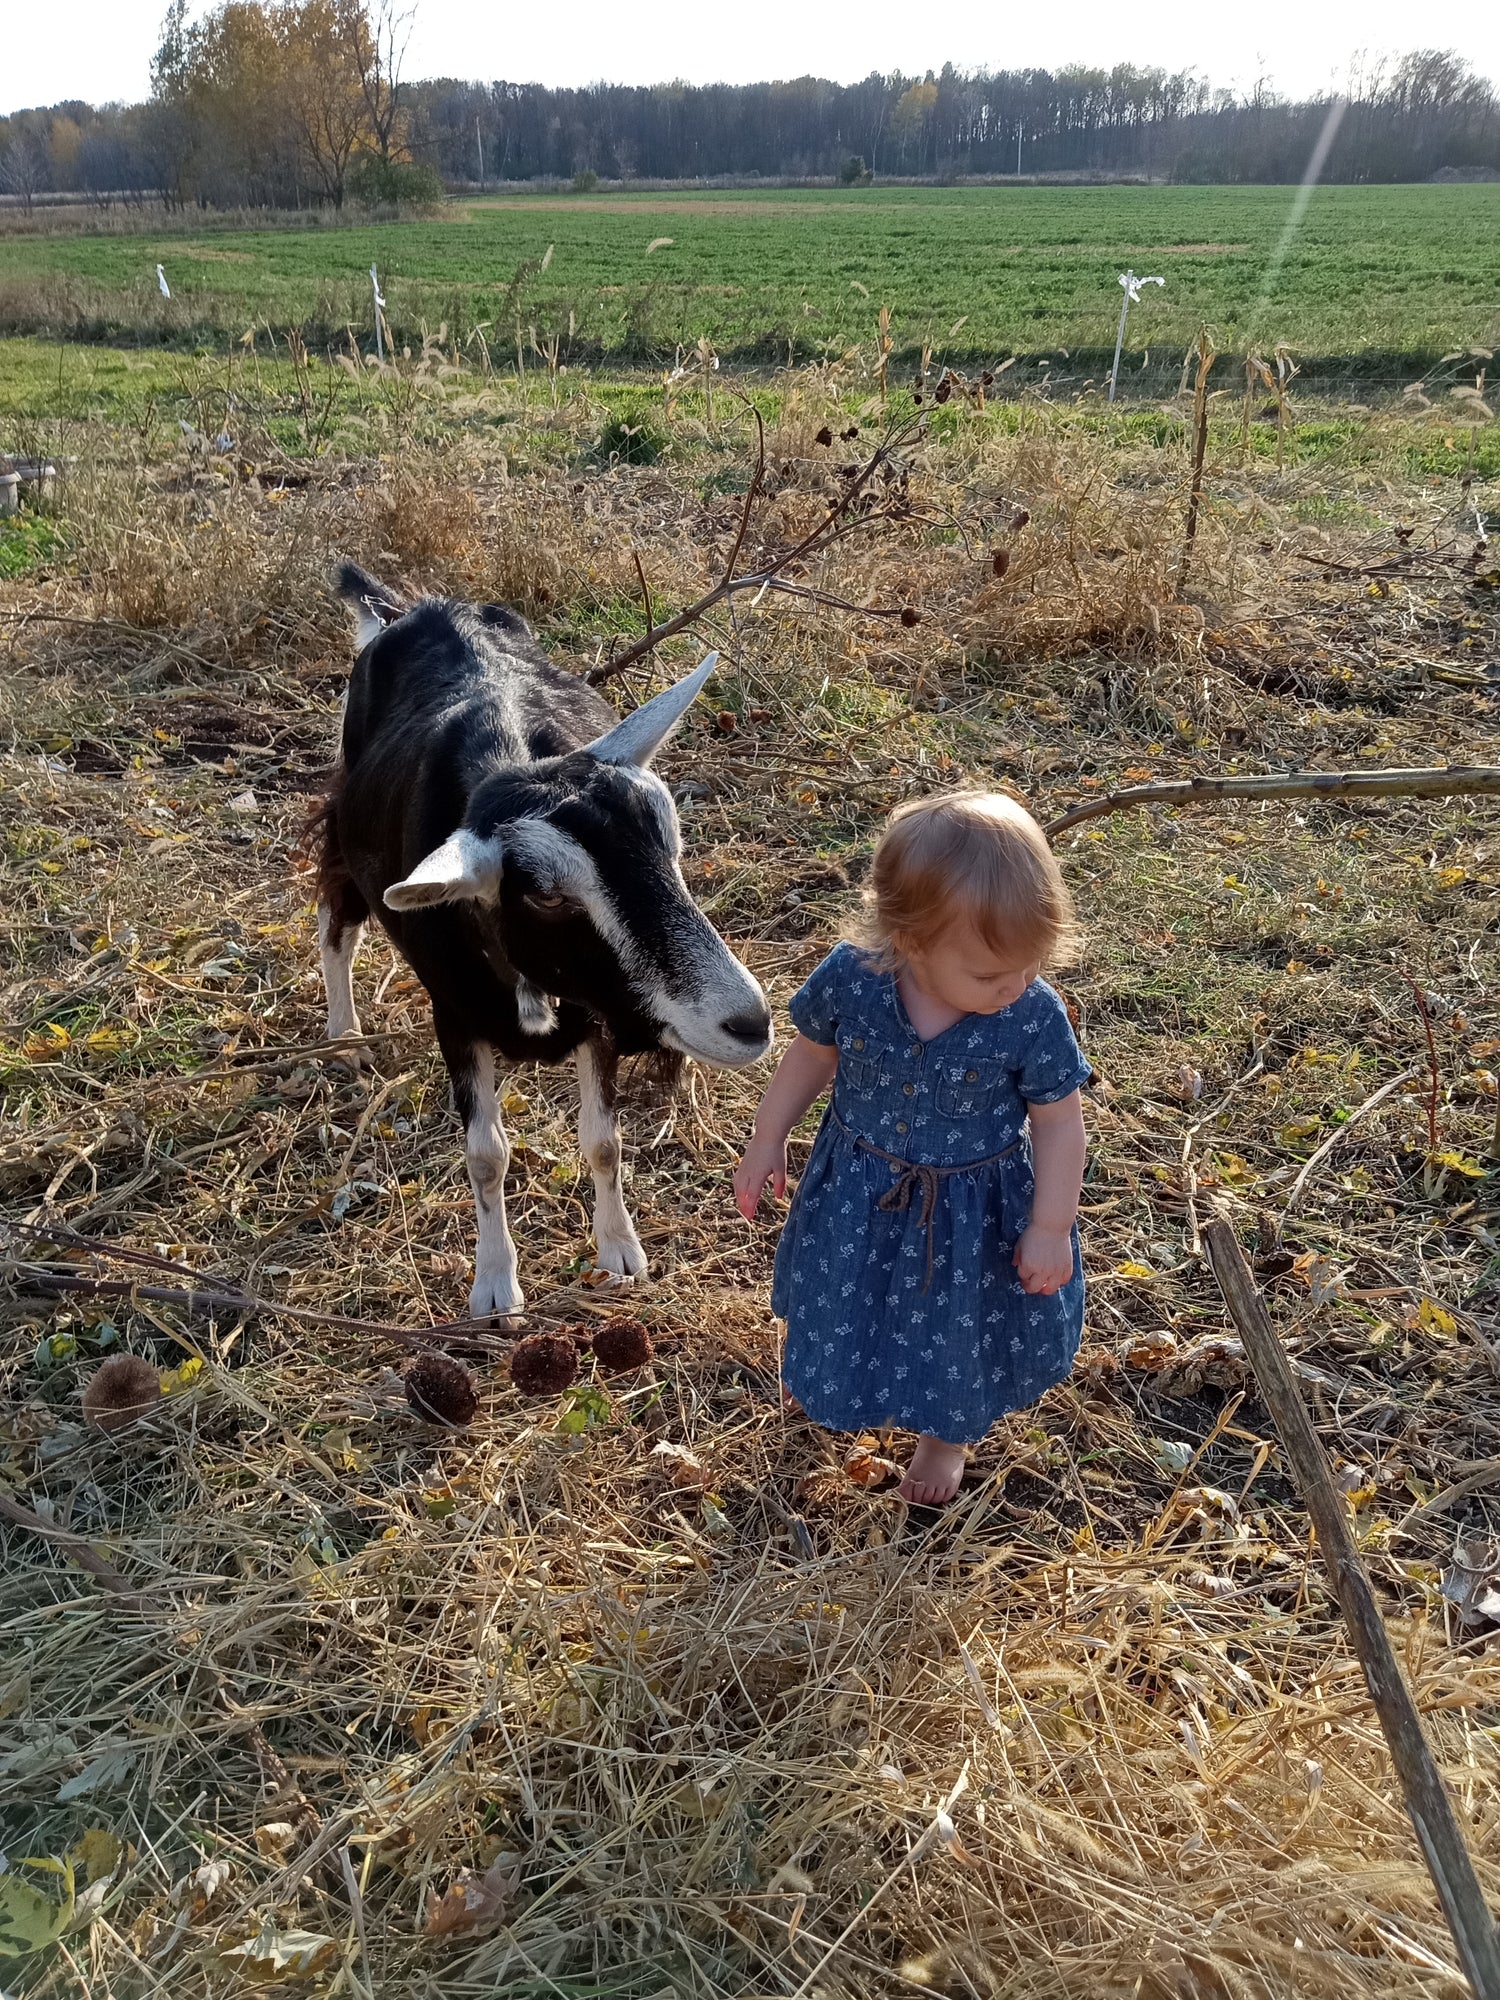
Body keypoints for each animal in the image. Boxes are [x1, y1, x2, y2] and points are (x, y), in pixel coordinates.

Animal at [312, 564, 768, 1312]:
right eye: (548, 896)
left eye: (671, 846)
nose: (750, 1023)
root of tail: (412, 608)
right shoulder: (455, 1015)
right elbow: (485, 1154)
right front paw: (496, 1286)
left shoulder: (599, 1015)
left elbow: (604, 1141)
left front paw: (620, 1252)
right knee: (336, 922)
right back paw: (345, 1037)